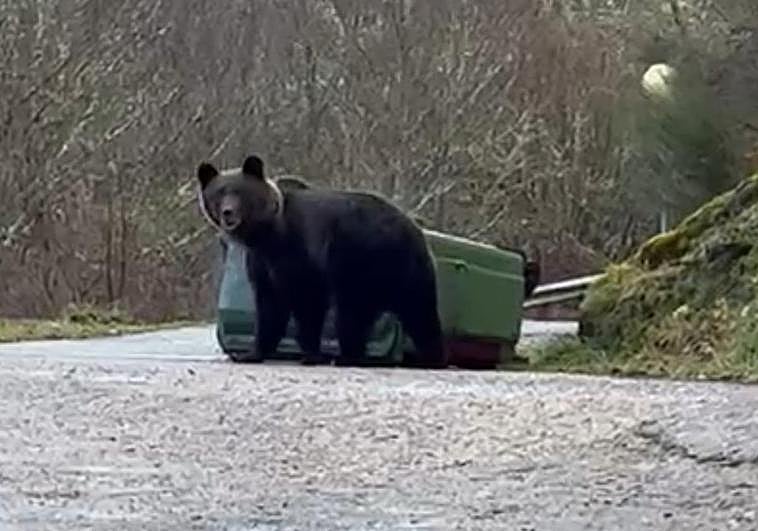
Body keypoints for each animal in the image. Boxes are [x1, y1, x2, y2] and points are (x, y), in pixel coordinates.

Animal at [197, 154, 448, 369]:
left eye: (240, 192)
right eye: (218, 193)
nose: (228, 212)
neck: (269, 233)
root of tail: (415, 229)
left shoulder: (302, 252)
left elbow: (308, 302)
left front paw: (310, 354)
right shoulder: (262, 263)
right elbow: (269, 306)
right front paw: (252, 353)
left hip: (365, 261)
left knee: (361, 311)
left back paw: (351, 357)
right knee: (410, 311)